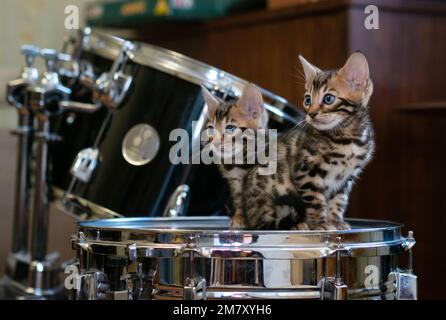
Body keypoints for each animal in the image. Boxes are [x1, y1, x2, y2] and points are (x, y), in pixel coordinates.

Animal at [202, 84, 268, 229]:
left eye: (230, 128)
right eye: (211, 129)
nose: (215, 142)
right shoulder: (234, 181)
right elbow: (239, 199)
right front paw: (239, 217)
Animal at [242, 53, 374, 231]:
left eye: (328, 99)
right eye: (307, 100)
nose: (311, 114)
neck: (347, 138)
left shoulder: (347, 178)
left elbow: (339, 200)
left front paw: (335, 221)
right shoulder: (307, 172)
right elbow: (316, 200)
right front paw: (320, 224)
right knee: (267, 223)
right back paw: (297, 224)